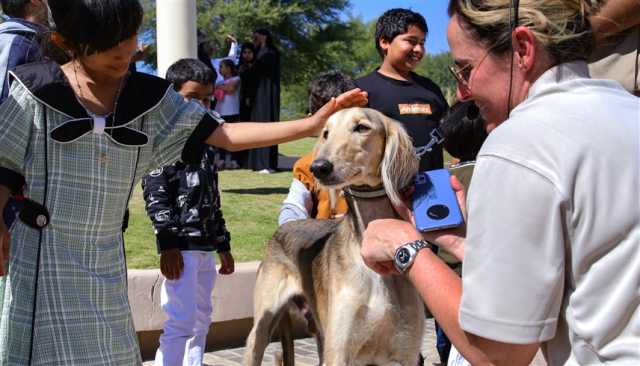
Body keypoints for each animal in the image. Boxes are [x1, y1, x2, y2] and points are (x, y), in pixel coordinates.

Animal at [242, 107, 422, 364]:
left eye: (361, 127)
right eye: (326, 132)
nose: (319, 167)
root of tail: (283, 227)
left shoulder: (405, 354)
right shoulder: (338, 352)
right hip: (262, 328)